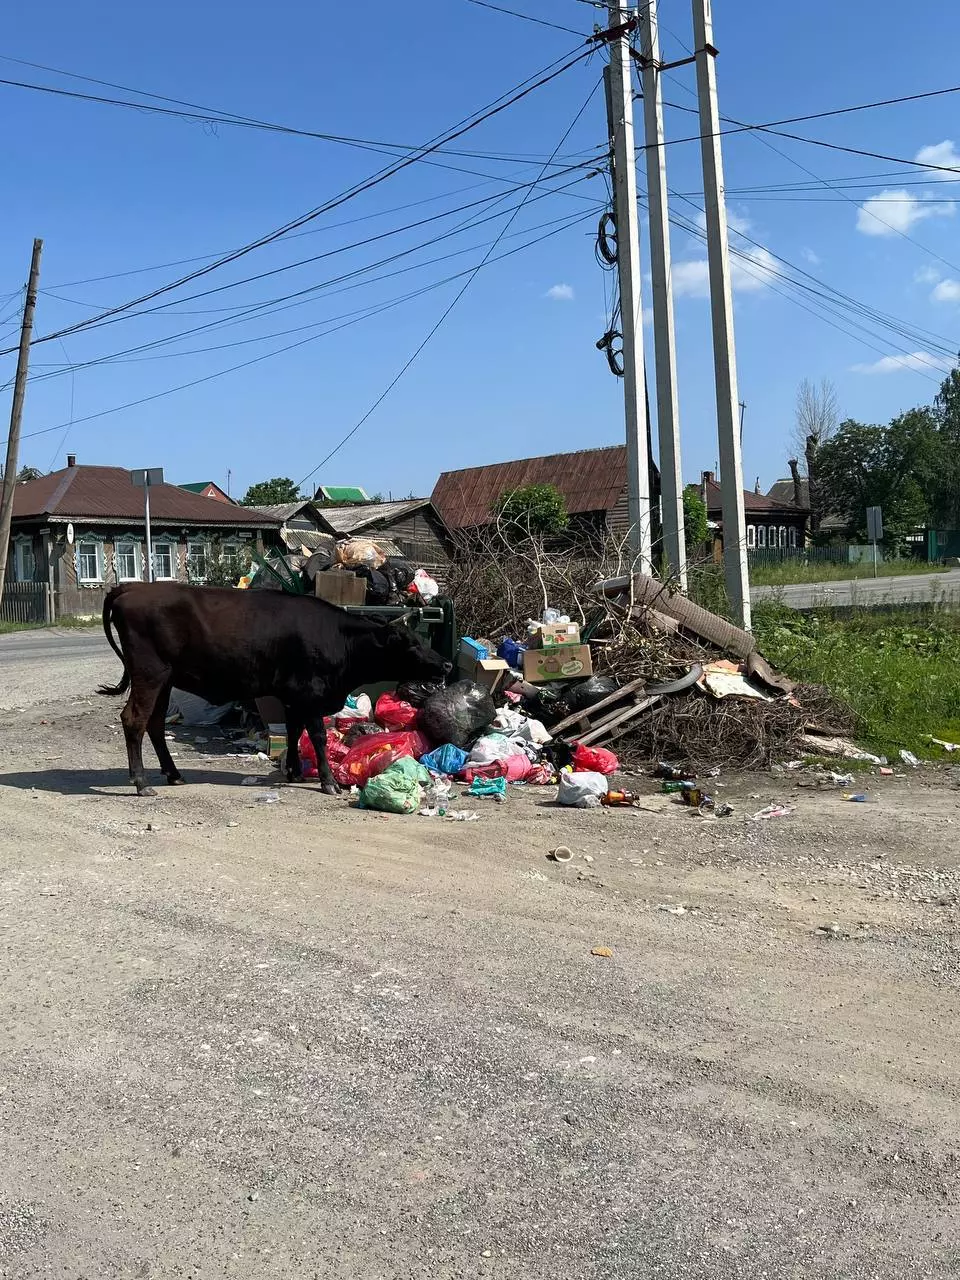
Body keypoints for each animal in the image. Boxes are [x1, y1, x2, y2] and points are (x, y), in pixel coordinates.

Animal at [99, 583, 453, 798]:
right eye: (409, 644)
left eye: (420, 639)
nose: (447, 664)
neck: (339, 639)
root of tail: (134, 587)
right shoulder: (311, 694)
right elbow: (317, 736)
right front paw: (327, 782)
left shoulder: (293, 695)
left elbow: (294, 731)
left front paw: (294, 771)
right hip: (149, 675)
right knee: (134, 720)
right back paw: (141, 783)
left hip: (165, 680)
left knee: (155, 724)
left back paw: (173, 774)